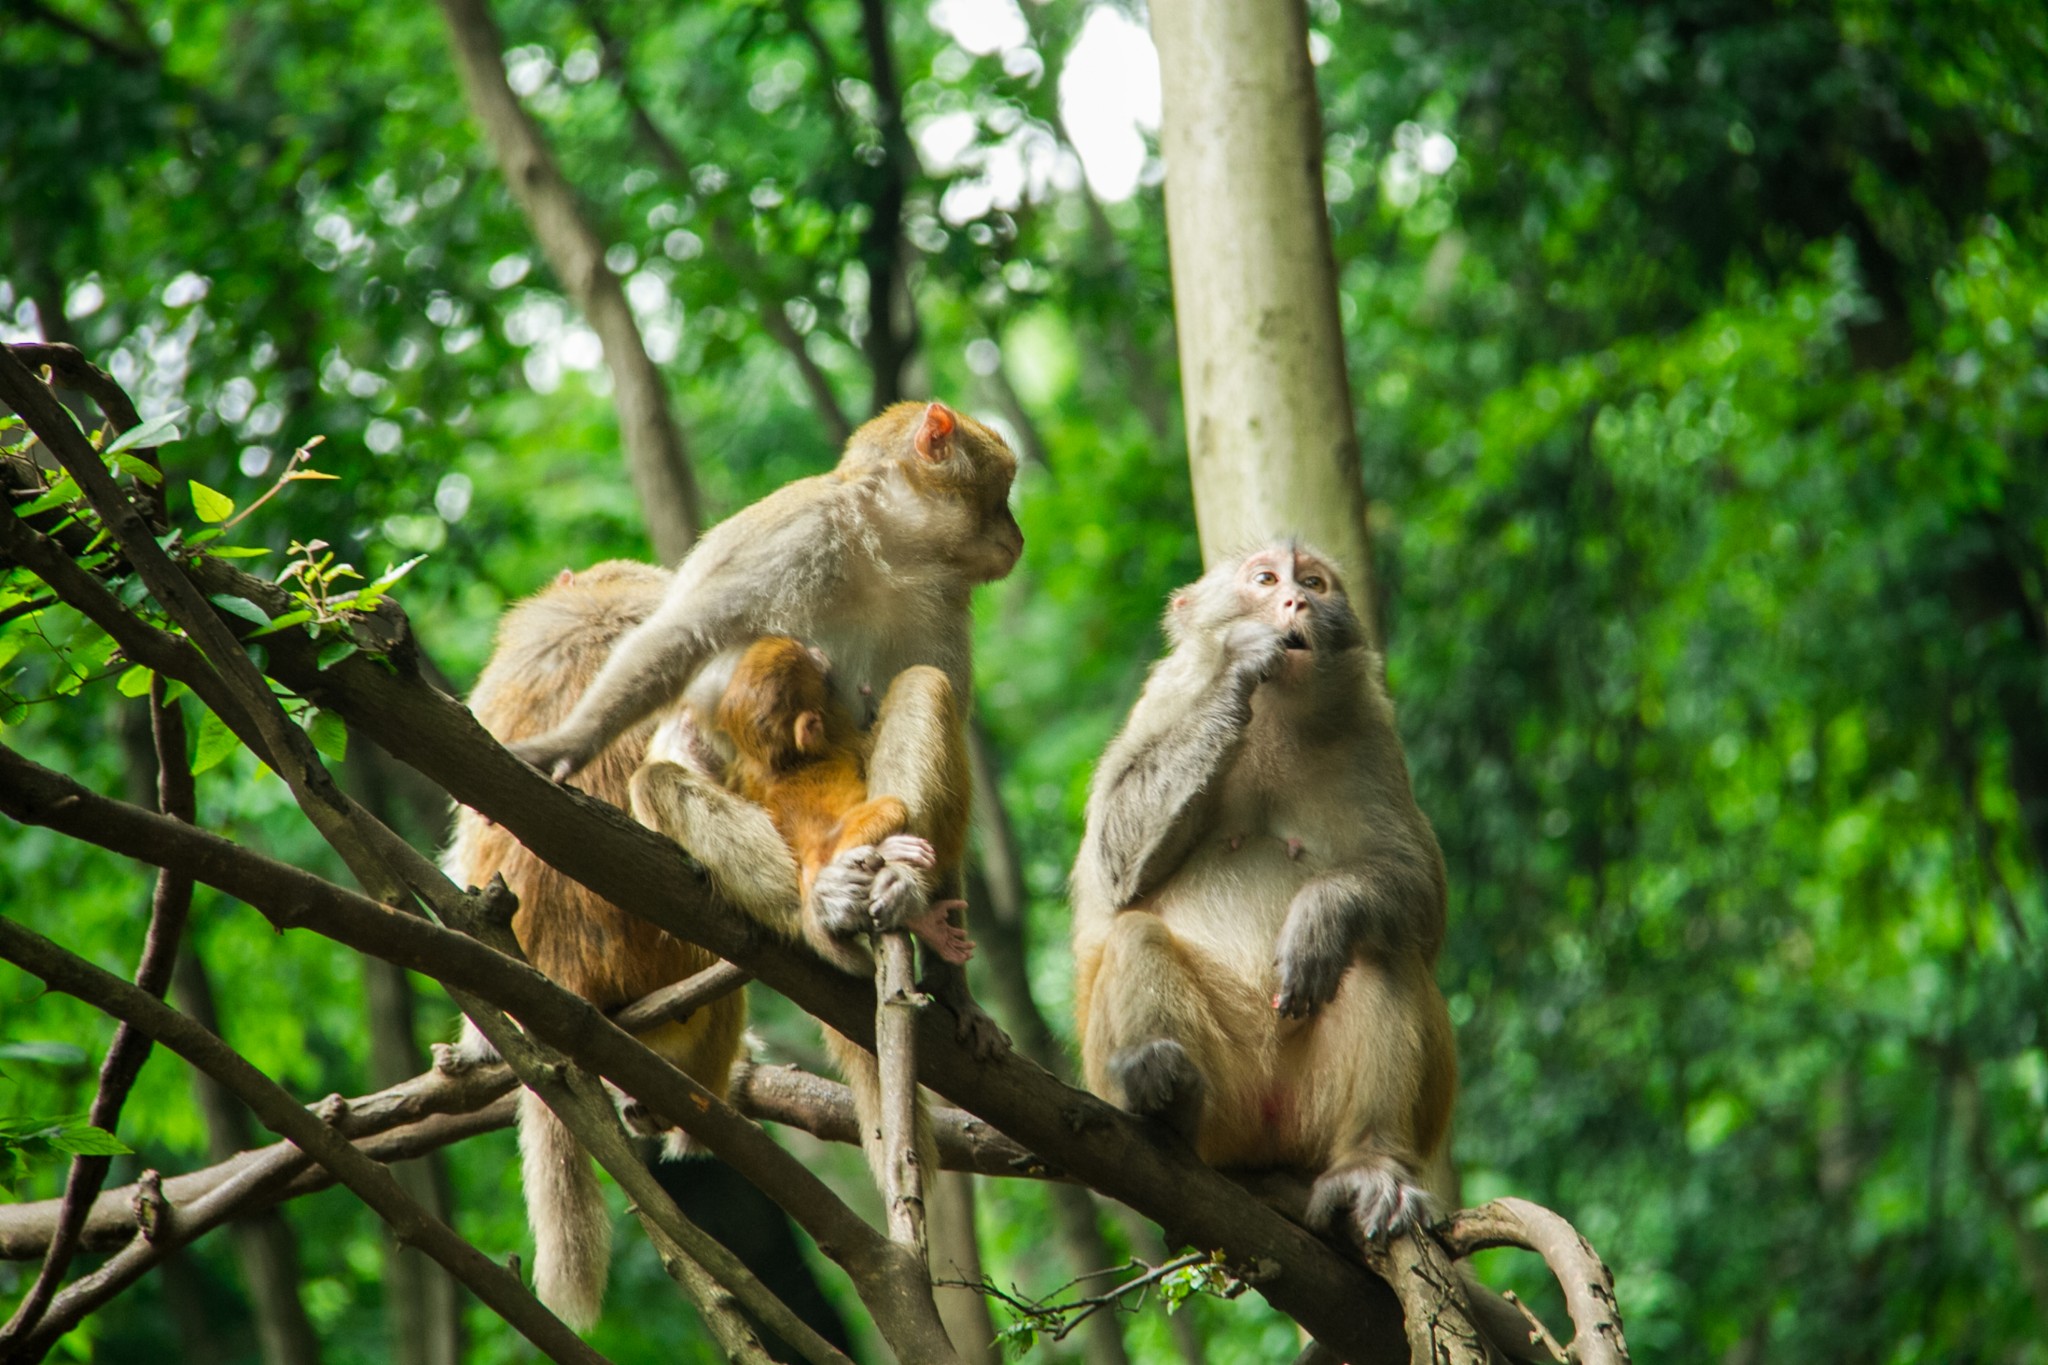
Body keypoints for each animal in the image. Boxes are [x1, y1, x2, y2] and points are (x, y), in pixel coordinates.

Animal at [1073, 540, 1458, 1244]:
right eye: (1265, 578)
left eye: (1315, 583)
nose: (1296, 601)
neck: (1275, 709)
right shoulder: (1164, 699)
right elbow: (1113, 863)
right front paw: (1238, 668)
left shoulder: (1372, 732)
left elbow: (1418, 891)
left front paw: (1320, 916)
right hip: (1229, 1106)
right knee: (1136, 934)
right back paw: (1167, 1101)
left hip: (1312, 1110)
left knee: (1376, 949)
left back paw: (1368, 1164)